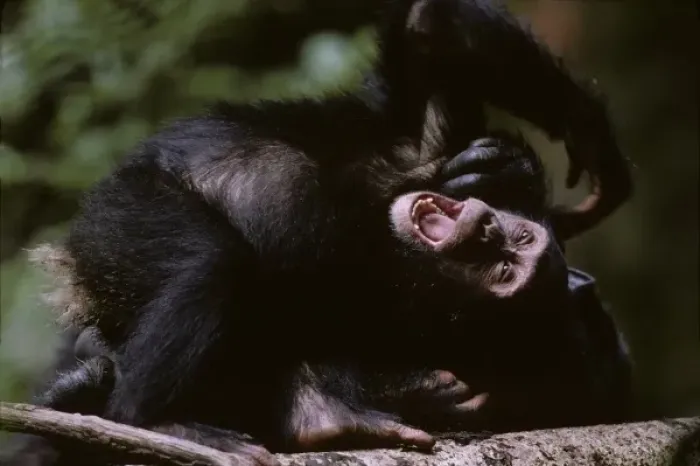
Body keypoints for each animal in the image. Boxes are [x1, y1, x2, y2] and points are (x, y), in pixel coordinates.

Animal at [0, 0, 633, 464]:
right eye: (516, 244)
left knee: (207, 266)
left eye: (504, 267)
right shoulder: (421, 145)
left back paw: (167, 421)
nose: (486, 229)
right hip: (119, 216)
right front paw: (590, 149)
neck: (383, 248)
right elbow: (427, 30)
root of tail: (72, 269)